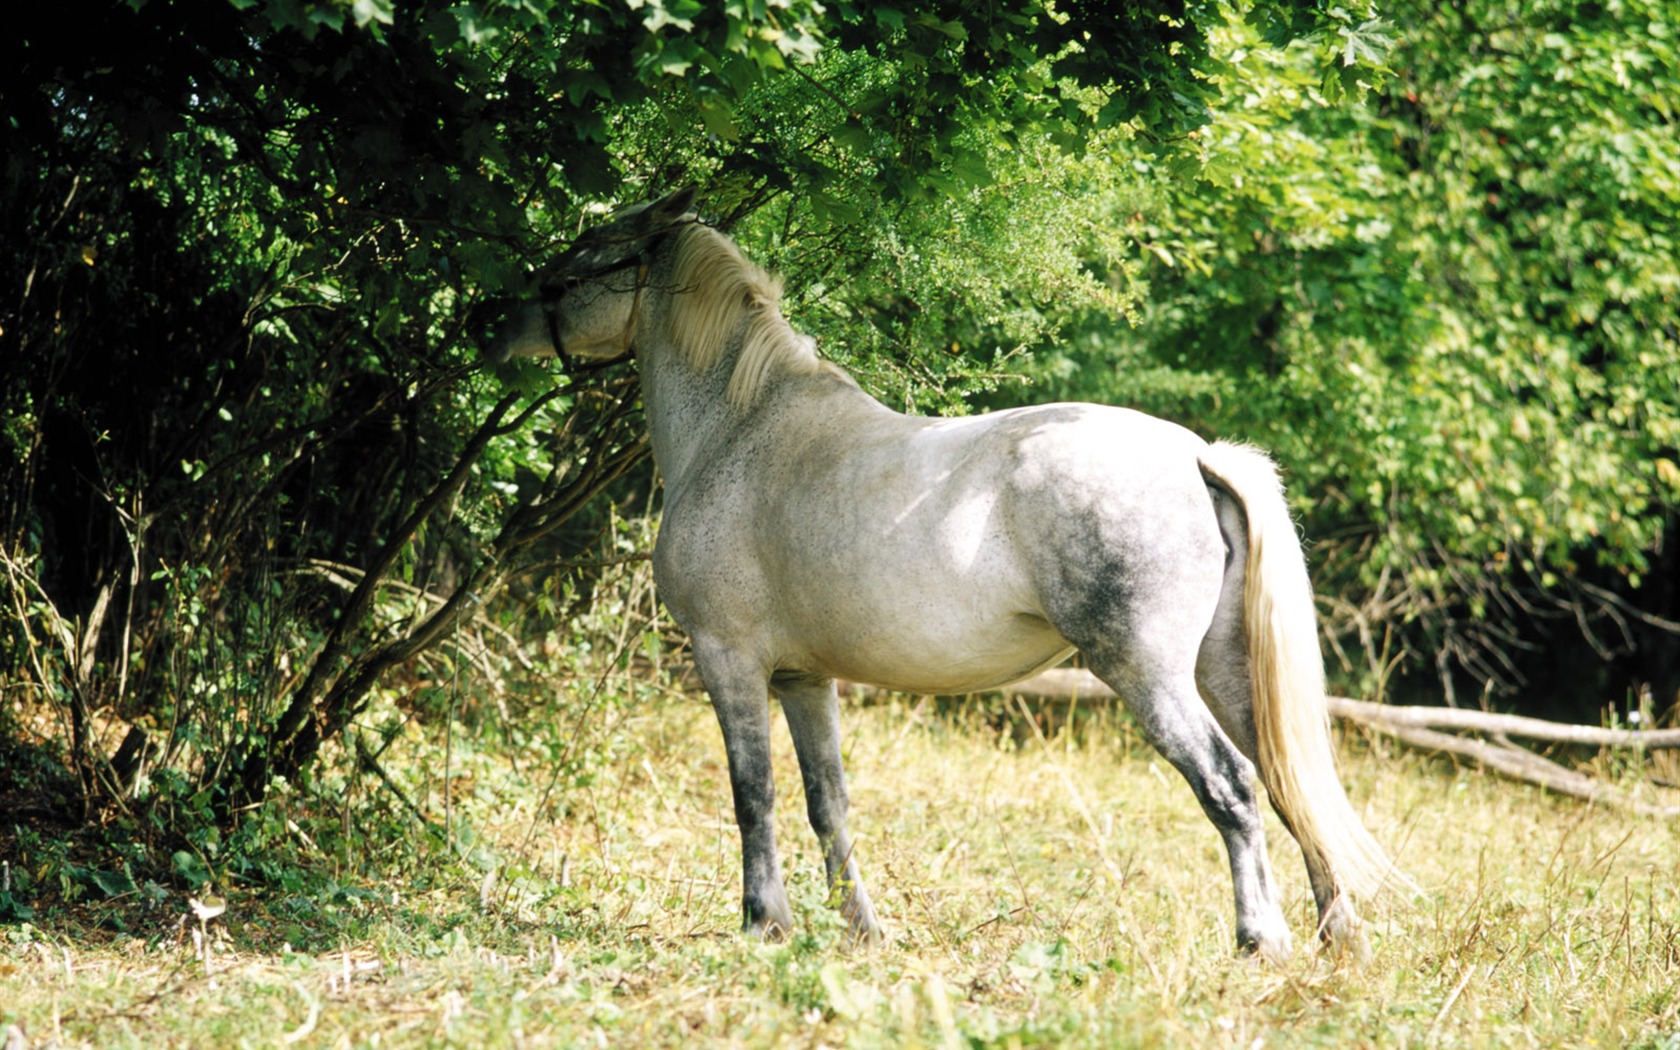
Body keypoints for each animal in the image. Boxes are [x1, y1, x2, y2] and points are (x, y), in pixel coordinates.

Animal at [490, 188, 1397, 960]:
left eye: (575, 264)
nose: (487, 324)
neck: (740, 428)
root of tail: (1195, 456)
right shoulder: (803, 679)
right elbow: (827, 803)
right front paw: (861, 931)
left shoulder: (730, 660)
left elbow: (754, 794)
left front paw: (765, 923)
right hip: (1223, 670)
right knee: (1285, 783)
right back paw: (1337, 934)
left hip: (1149, 675)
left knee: (1232, 787)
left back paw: (1261, 940)